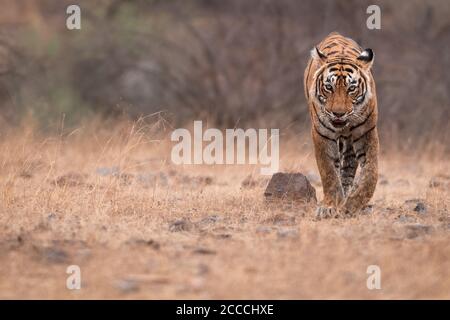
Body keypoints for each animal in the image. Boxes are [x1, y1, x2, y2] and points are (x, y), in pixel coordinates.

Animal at [302, 31, 380, 219]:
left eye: (351, 88)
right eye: (328, 87)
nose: (338, 113)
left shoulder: (367, 133)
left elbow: (371, 173)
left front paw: (352, 205)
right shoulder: (321, 134)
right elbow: (328, 172)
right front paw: (330, 206)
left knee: (348, 168)